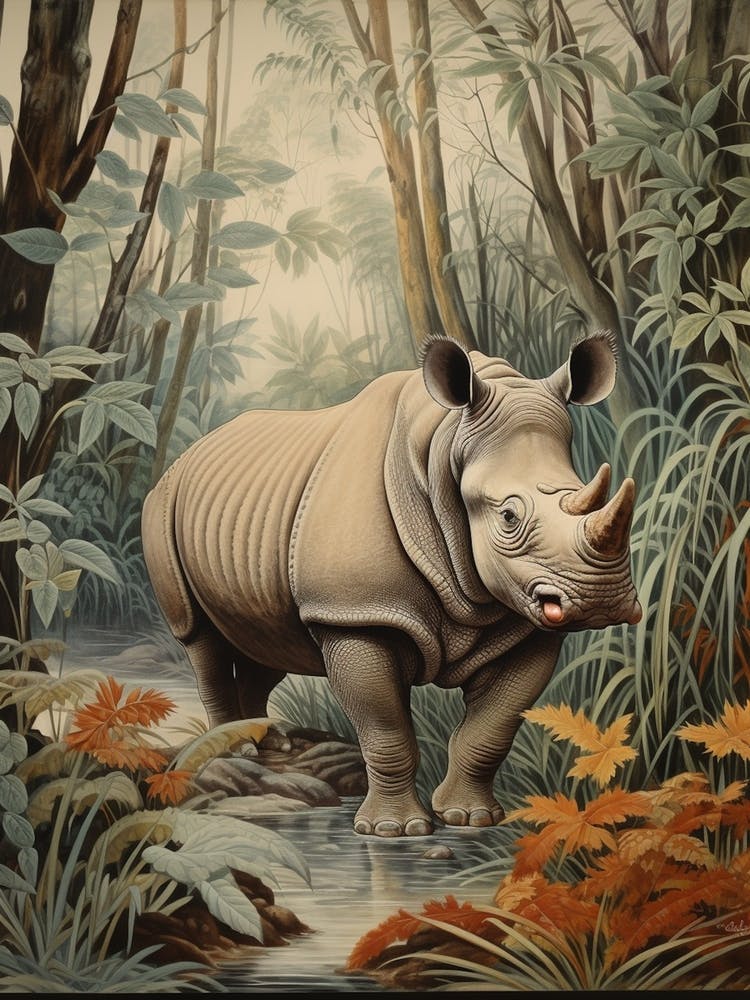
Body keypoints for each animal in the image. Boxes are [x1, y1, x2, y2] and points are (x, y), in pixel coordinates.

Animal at [141, 333, 641, 838]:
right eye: (508, 516)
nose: (601, 602)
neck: (444, 448)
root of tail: (184, 458)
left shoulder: (524, 621)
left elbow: (493, 726)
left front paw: (471, 818)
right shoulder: (356, 614)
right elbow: (385, 729)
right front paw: (393, 830)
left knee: (268, 638)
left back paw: (270, 744)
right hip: (160, 505)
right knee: (200, 637)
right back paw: (238, 749)